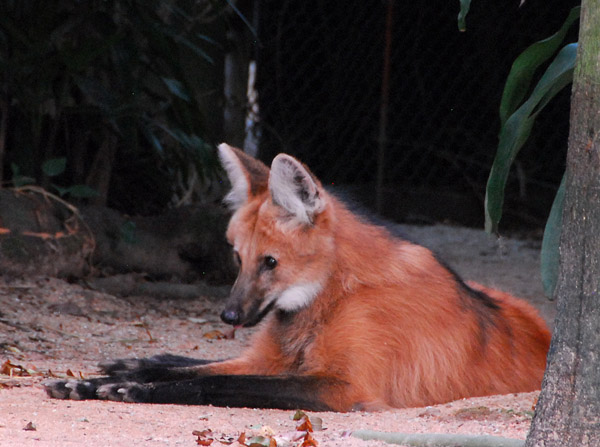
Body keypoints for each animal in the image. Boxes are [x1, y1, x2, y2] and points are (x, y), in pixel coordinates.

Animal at [44, 144, 552, 412]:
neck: (334, 295)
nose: (228, 315)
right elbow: (202, 370)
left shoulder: (345, 387)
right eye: (238, 258)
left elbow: (216, 384)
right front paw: (98, 380)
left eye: (270, 262)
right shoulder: (276, 357)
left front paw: (129, 387)